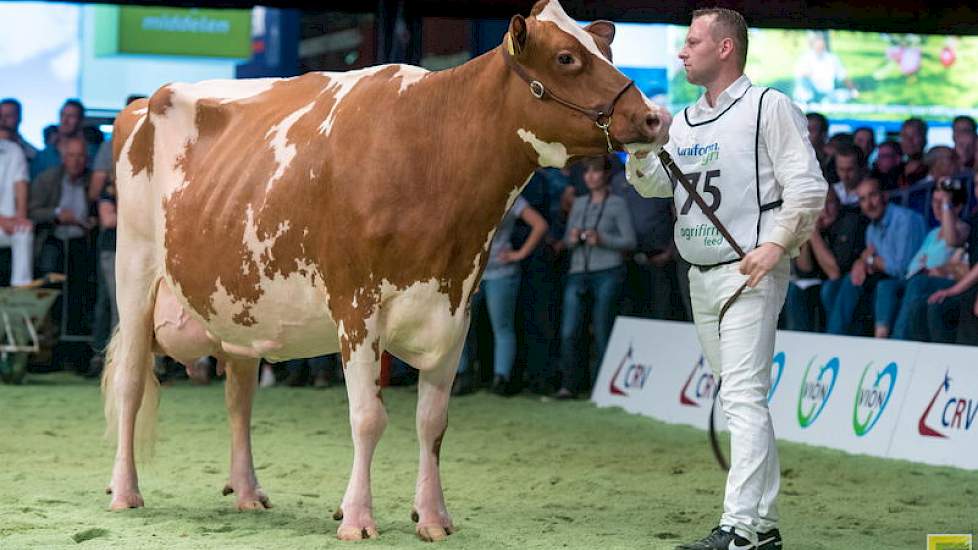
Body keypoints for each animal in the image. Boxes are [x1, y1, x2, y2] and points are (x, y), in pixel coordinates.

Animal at [103, 0, 668, 544]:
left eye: (605, 50)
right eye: (566, 58)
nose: (654, 118)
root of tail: (142, 103)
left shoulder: (456, 308)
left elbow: (432, 422)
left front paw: (433, 517)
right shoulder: (356, 306)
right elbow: (369, 417)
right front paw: (356, 517)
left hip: (238, 304)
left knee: (238, 396)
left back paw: (246, 491)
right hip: (134, 275)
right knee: (131, 384)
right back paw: (125, 492)